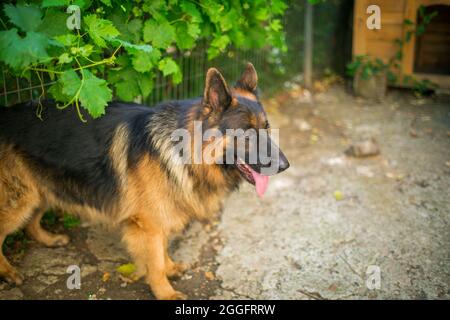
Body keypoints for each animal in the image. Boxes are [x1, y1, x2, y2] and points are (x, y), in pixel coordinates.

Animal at [0, 63, 288, 298]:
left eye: (266, 128)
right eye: (247, 133)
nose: (285, 166)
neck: (183, 151)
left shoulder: (159, 217)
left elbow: (162, 250)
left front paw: (170, 268)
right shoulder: (147, 224)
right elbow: (155, 262)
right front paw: (165, 292)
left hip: (41, 191)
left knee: (31, 223)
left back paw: (49, 240)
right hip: (20, 200)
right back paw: (9, 272)